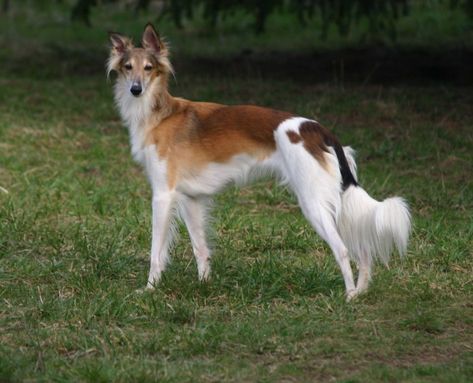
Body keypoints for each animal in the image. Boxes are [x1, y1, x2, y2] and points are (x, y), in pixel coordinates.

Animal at [107, 24, 410, 302]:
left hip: (313, 203)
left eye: (148, 68)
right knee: (363, 252)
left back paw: (348, 296)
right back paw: (360, 292)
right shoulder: (191, 198)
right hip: (336, 202)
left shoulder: (162, 195)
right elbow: (200, 248)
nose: (136, 89)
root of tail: (317, 129)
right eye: (128, 67)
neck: (158, 113)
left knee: (343, 249)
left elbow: (156, 251)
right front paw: (204, 286)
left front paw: (149, 289)